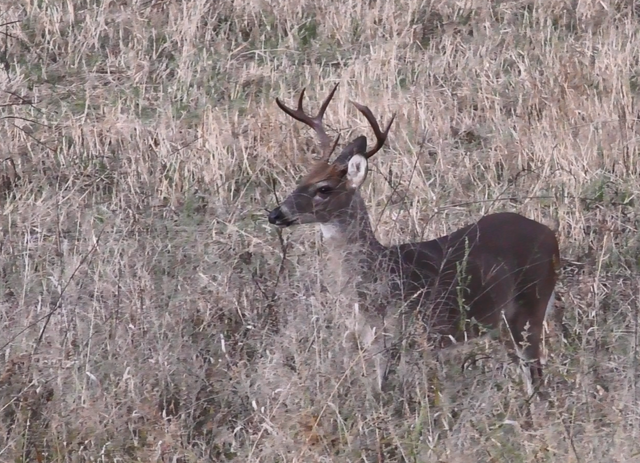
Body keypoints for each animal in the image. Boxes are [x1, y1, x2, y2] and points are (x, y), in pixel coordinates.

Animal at [268, 84, 556, 396]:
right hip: (501, 323)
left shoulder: (413, 332)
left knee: (536, 372)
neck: (380, 278)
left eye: (324, 189)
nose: (275, 214)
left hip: (531, 303)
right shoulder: (375, 340)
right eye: (302, 179)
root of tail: (551, 235)